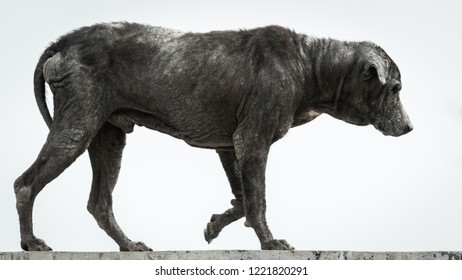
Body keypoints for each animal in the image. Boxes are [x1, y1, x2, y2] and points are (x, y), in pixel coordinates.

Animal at [13, 22, 412, 252]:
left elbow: (244, 200)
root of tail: (64, 41)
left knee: (99, 204)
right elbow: (257, 200)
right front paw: (269, 242)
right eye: (394, 88)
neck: (309, 64)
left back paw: (128, 245)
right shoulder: (252, 142)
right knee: (24, 184)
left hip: (108, 138)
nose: (409, 127)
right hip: (75, 132)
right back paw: (30, 242)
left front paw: (217, 224)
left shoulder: (229, 147)